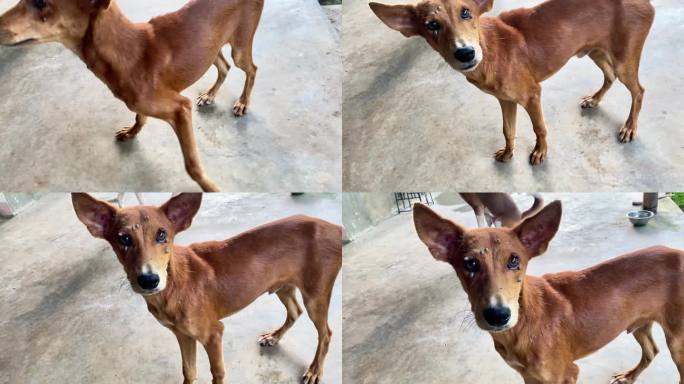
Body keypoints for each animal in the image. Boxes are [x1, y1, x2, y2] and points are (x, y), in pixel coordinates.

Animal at [0, 0, 264, 192]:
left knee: (251, 69)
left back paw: (242, 103)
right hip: (212, 45)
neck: (129, 53)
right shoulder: (144, 104)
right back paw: (209, 95)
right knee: (224, 66)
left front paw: (211, 188)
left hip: (240, 46)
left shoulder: (181, 108)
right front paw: (131, 131)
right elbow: (139, 116)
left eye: (40, 2)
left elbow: (192, 166)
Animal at [72, 192, 342, 384]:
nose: (149, 280)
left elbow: (217, 373)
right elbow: (188, 372)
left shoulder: (213, 334)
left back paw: (314, 370)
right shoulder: (182, 334)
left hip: (316, 295)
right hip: (283, 285)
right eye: (124, 239)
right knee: (295, 311)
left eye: (162, 235)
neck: (174, 286)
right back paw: (274, 337)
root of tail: (334, 226)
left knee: (326, 333)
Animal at [372, 0, 656, 164]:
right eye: (432, 25)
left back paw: (629, 127)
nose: (465, 53)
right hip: (596, 51)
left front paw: (540, 152)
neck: (491, 49)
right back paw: (594, 100)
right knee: (609, 76)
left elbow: (539, 128)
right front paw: (508, 154)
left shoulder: (532, 95)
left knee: (639, 91)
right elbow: (508, 130)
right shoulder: (505, 100)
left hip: (623, 60)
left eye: (466, 13)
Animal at [414, 202, 684, 382]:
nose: (498, 315)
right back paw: (629, 376)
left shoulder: (566, 374)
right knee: (651, 350)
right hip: (640, 322)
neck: (520, 327)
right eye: (469, 264)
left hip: (678, 341)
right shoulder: (529, 376)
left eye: (514, 260)